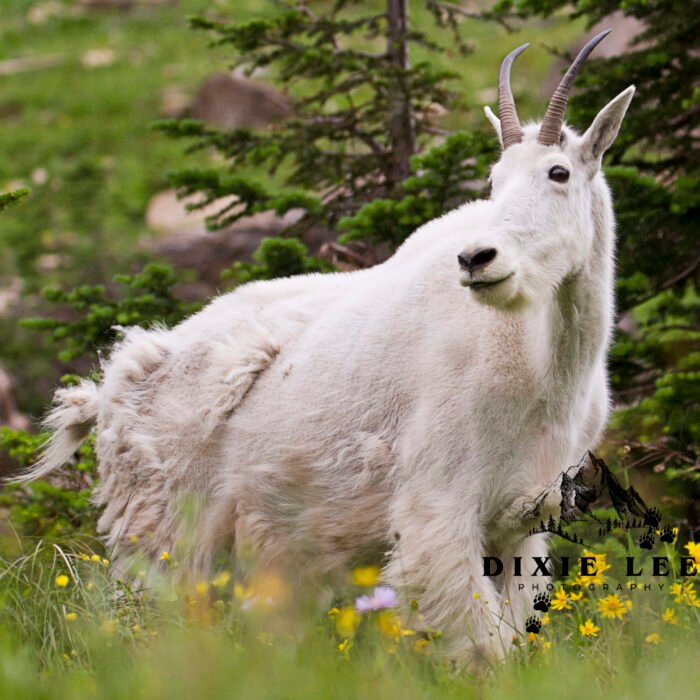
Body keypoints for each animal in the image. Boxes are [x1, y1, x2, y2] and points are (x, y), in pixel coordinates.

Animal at [21, 30, 634, 663]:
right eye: (494, 180)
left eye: (559, 172)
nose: (476, 259)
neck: (545, 373)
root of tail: (111, 392)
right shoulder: (438, 503)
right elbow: (482, 646)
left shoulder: (521, 521)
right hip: (161, 521)